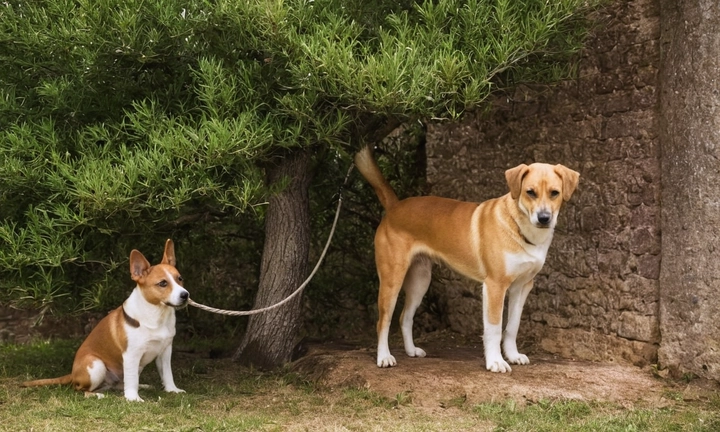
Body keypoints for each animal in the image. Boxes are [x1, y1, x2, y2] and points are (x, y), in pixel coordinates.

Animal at [23, 238, 188, 400]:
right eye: (163, 283)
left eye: (180, 278)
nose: (185, 295)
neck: (156, 315)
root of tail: (73, 374)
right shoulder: (131, 354)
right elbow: (132, 379)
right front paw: (133, 398)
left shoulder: (165, 351)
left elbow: (167, 374)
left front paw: (172, 390)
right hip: (96, 365)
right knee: (80, 389)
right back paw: (97, 395)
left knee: (118, 385)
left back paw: (141, 386)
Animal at [354, 148, 580, 372]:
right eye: (530, 192)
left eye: (554, 193)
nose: (544, 218)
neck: (519, 228)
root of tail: (395, 206)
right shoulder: (495, 286)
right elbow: (494, 328)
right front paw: (495, 361)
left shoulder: (522, 287)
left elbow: (512, 326)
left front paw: (513, 355)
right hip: (392, 280)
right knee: (383, 322)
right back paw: (384, 357)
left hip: (420, 281)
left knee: (405, 317)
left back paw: (411, 351)